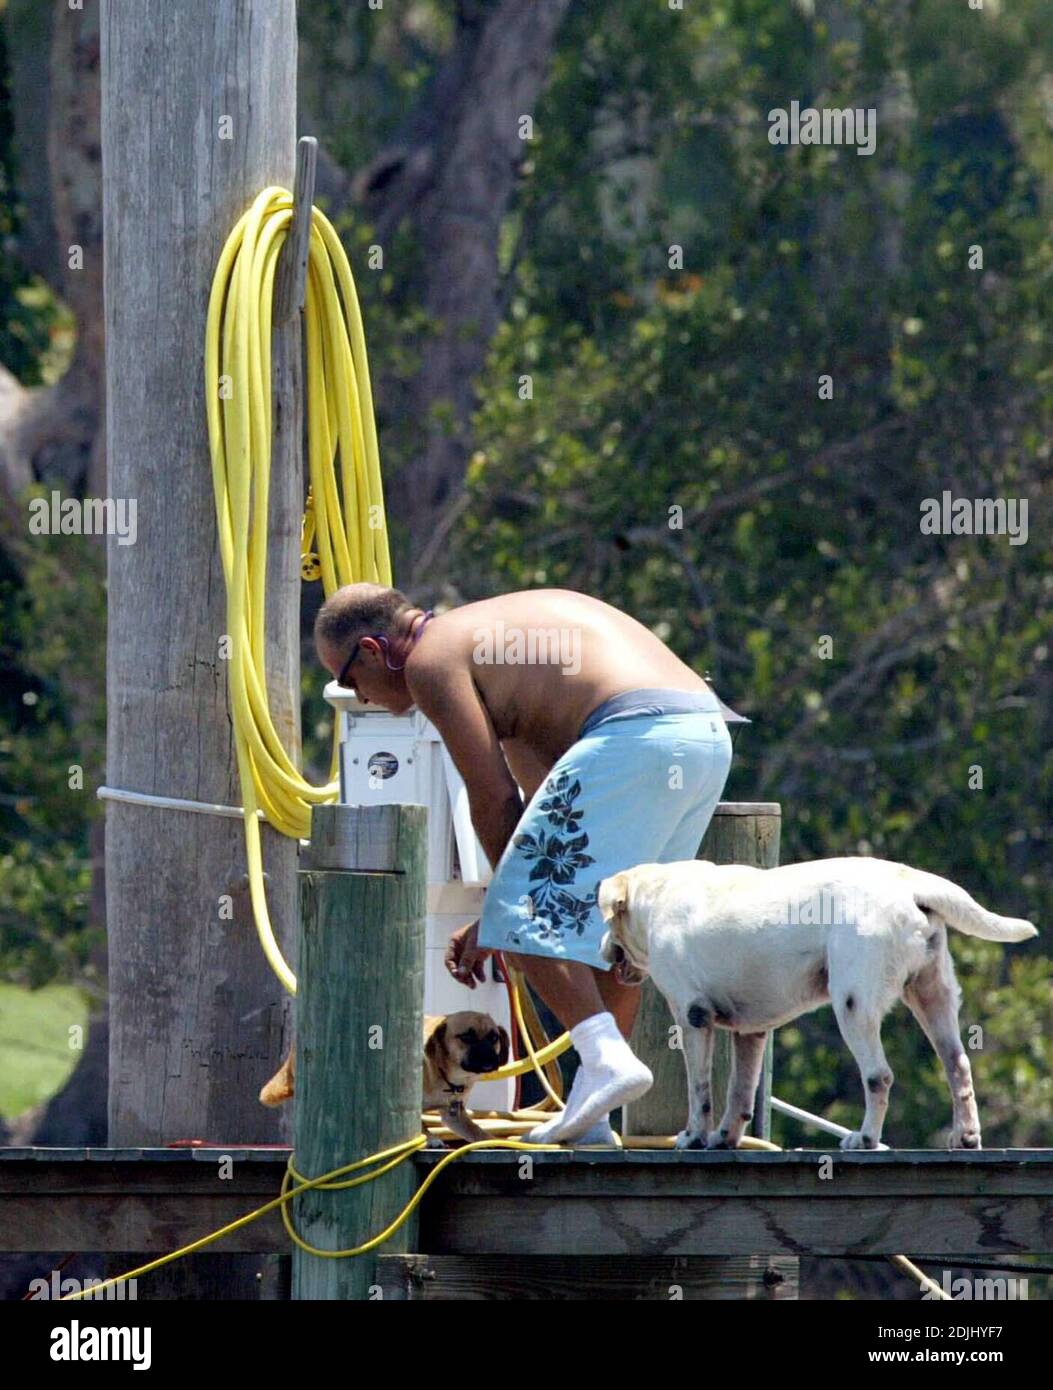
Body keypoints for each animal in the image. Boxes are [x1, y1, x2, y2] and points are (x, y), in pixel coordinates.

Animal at [262, 1017, 513, 1145]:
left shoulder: (454, 1115)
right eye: (466, 1036)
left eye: (494, 1037)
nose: (489, 1057)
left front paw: (492, 1140)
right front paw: (430, 1139)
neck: (443, 1070)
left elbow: (475, 1131)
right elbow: (419, 1124)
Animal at [602, 856, 1039, 1150]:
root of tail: (911, 883)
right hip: (933, 997)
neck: (656, 896)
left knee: (879, 1075)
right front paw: (725, 1138)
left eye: (609, 922)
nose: (603, 948)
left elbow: (701, 1090)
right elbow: (740, 1094)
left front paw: (693, 1136)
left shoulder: (692, 1016)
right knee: (957, 1066)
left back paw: (864, 1139)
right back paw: (965, 1136)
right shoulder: (750, 1032)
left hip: (853, 1004)